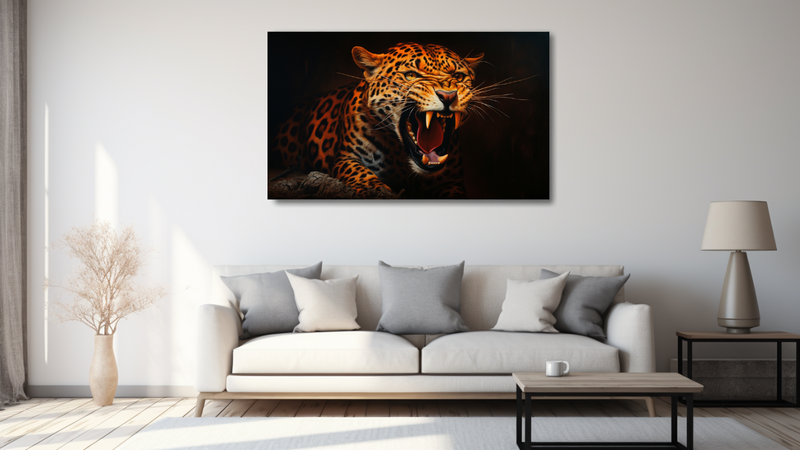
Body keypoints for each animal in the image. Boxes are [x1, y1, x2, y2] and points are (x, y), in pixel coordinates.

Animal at [268, 42, 483, 199]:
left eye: (458, 76)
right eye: (411, 75)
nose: (448, 95)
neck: (401, 157)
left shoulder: (451, 179)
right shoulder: (346, 158)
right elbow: (360, 174)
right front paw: (374, 190)